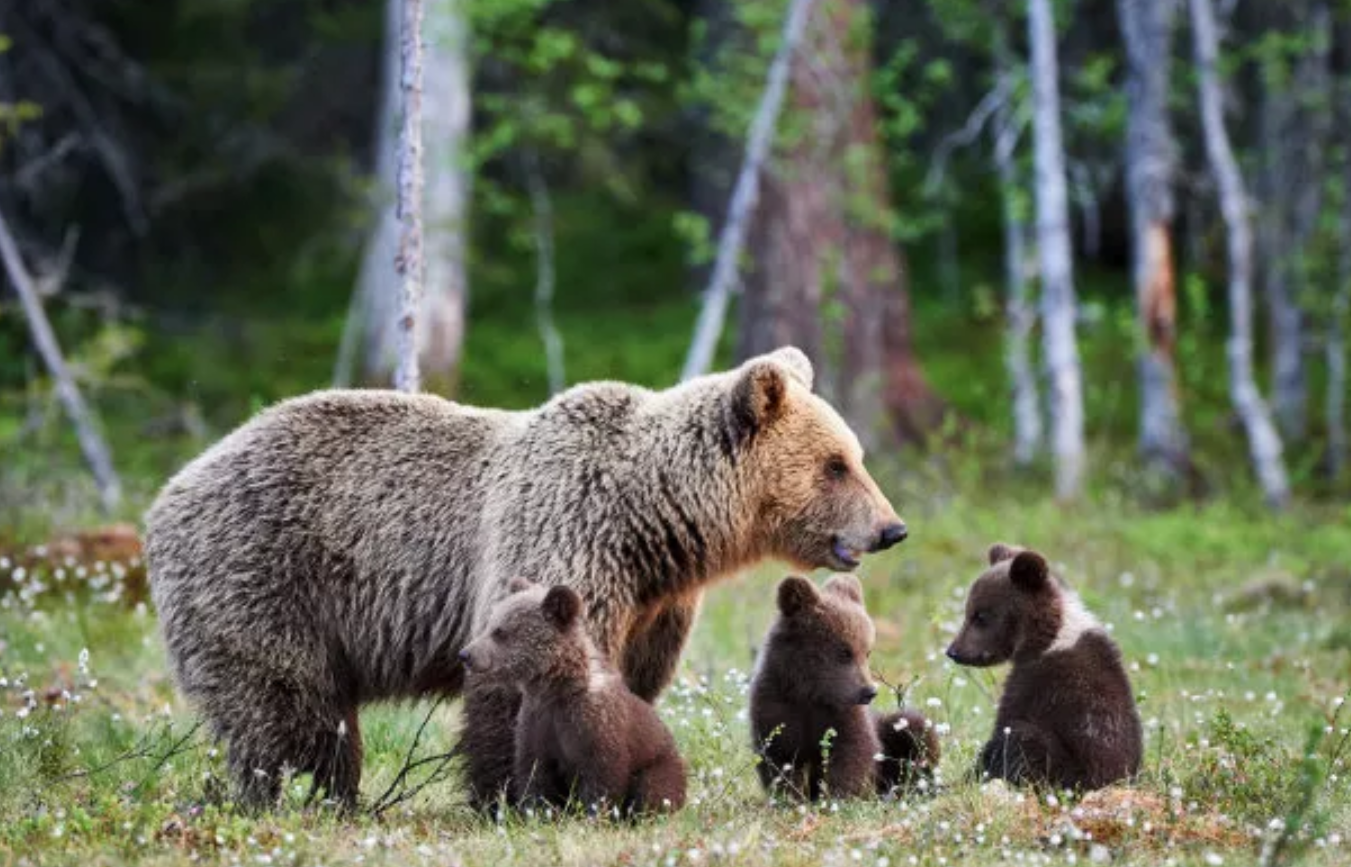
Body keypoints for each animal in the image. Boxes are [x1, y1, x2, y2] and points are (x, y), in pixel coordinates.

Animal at [462, 578, 686, 815]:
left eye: (500, 632)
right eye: (489, 625)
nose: (465, 654)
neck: (556, 688)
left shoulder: (595, 727)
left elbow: (602, 778)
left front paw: (592, 814)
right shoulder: (536, 724)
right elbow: (534, 775)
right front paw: (538, 812)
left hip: (659, 764)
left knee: (654, 789)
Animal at [751, 572, 940, 799]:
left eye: (867, 652)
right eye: (844, 652)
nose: (869, 692)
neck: (810, 693)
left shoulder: (844, 714)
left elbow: (853, 753)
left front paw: (839, 796)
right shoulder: (776, 707)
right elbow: (779, 756)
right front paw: (789, 796)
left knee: (915, 728)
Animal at [945, 542, 1145, 794]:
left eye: (981, 616)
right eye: (968, 611)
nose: (953, 651)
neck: (1047, 639)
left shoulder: (1040, 683)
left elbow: (1006, 726)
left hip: (1070, 768)